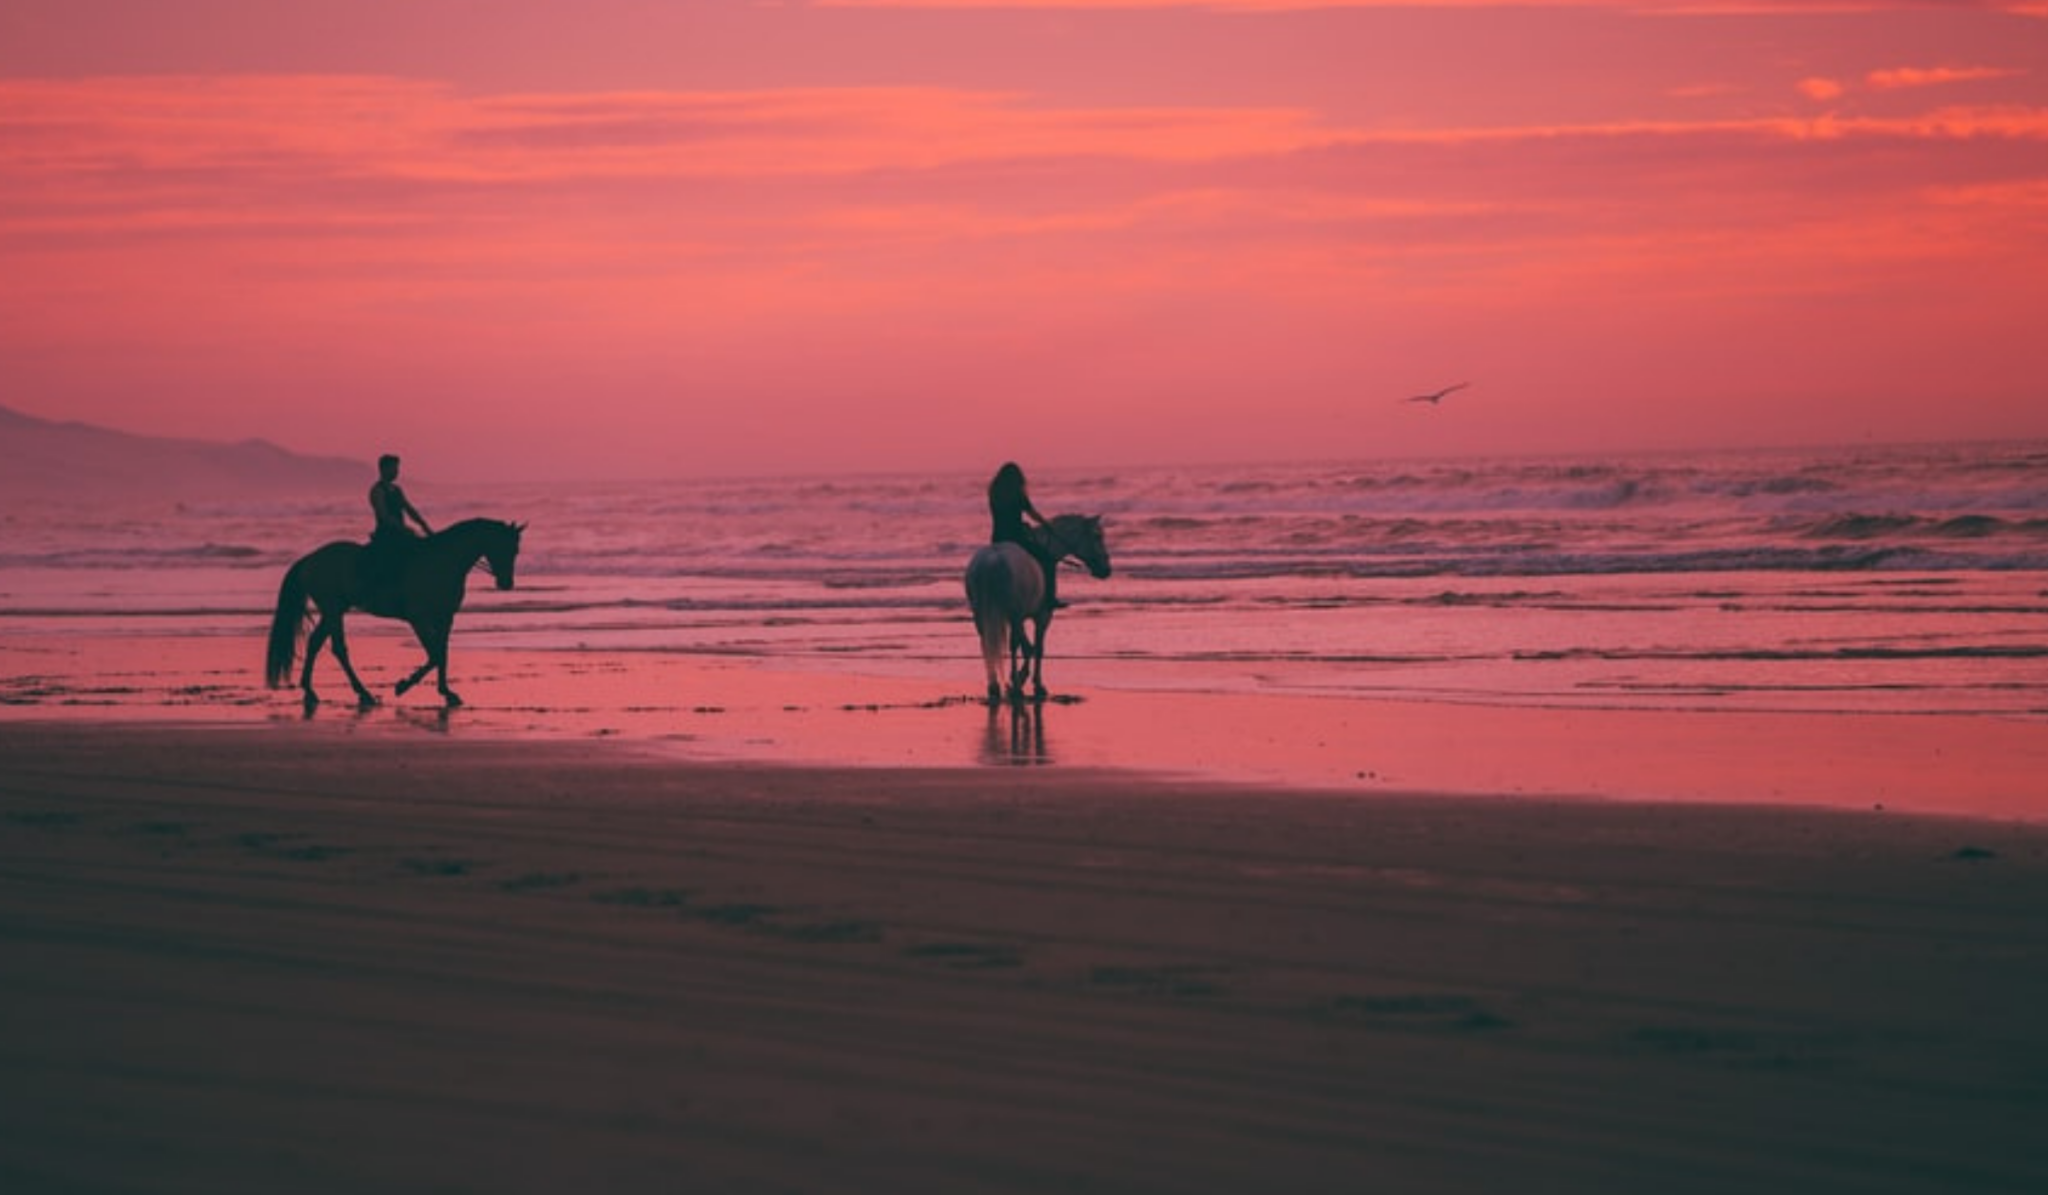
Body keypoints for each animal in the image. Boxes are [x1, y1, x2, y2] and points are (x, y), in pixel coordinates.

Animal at [264, 518, 524, 705]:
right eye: (504, 548)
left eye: (516, 551)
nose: (506, 583)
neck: (443, 562)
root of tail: (310, 559)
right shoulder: (418, 619)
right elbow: (435, 655)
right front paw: (403, 686)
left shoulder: (446, 618)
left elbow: (442, 653)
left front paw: (446, 692)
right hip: (333, 609)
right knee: (338, 648)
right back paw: (364, 693)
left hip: (334, 610)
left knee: (315, 643)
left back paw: (310, 690)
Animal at [966, 512, 1114, 701]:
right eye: (1097, 536)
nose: (1106, 570)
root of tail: (992, 560)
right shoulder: (1042, 616)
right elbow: (1038, 648)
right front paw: (1035, 683)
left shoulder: (1018, 618)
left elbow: (1028, 646)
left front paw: (1019, 676)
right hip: (1013, 614)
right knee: (1012, 645)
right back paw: (1016, 689)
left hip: (981, 614)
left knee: (986, 643)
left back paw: (994, 687)